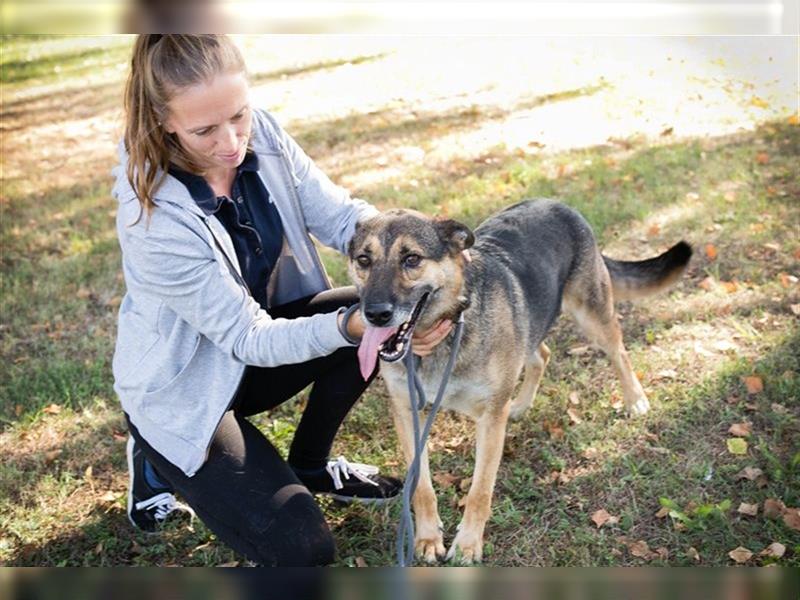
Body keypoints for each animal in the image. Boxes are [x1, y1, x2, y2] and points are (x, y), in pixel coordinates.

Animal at [346, 197, 692, 564]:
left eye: (411, 259)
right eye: (364, 260)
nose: (375, 314)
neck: (443, 336)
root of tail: (557, 203)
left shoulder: (489, 420)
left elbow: (480, 491)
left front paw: (467, 544)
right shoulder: (408, 413)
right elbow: (422, 487)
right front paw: (427, 538)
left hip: (591, 313)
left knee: (618, 352)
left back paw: (634, 398)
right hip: (528, 328)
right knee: (542, 354)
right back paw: (521, 405)